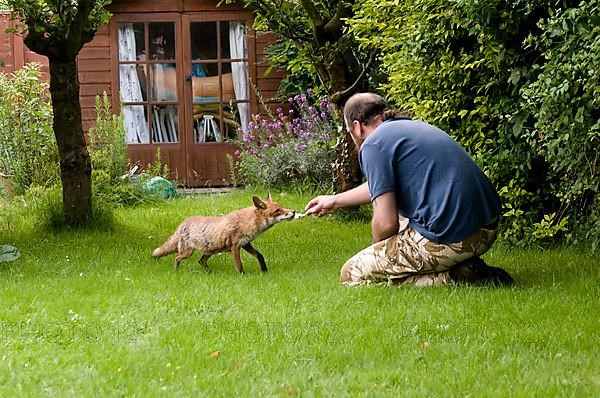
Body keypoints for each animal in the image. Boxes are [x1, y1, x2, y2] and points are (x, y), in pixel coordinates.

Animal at [152, 194, 296, 274]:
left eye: (282, 207)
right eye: (277, 210)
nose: (294, 211)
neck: (246, 222)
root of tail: (183, 223)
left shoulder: (246, 243)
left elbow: (260, 256)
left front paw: (264, 271)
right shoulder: (235, 247)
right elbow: (239, 266)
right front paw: (243, 277)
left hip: (210, 251)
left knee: (201, 261)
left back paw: (211, 273)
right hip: (187, 252)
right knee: (176, 257)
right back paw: (176, 271)